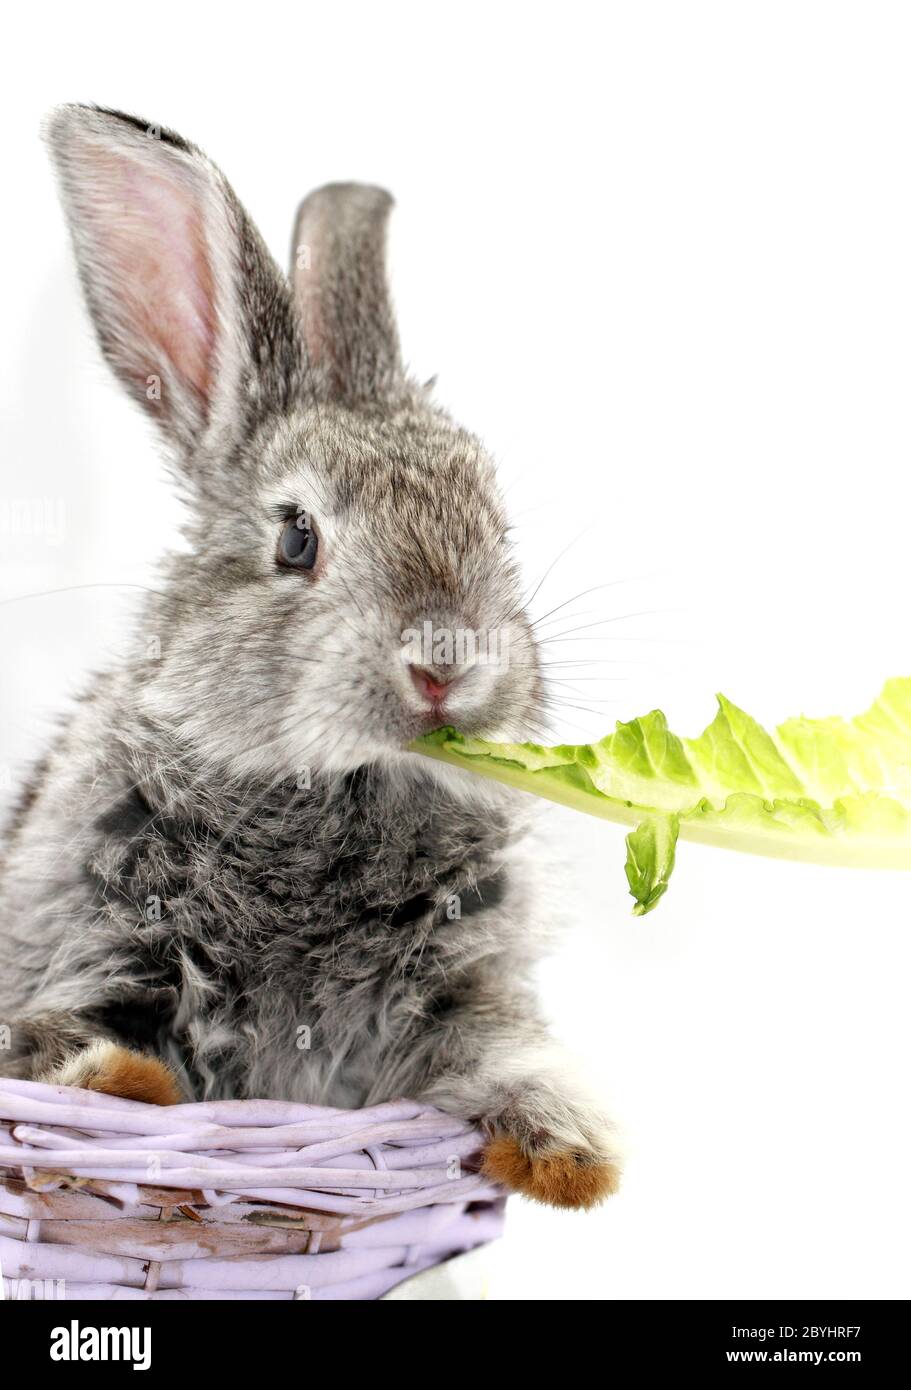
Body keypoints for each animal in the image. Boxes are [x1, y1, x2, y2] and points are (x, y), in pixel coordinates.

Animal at [0, 104, 621, 1209]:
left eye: (494, 526)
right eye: (296, 538)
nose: (445, 660)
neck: (333, 795)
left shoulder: (461, 992)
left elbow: (501, 1049)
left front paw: (571, 1154)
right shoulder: (87, 946)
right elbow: (58, 1038)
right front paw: (121, 1085)